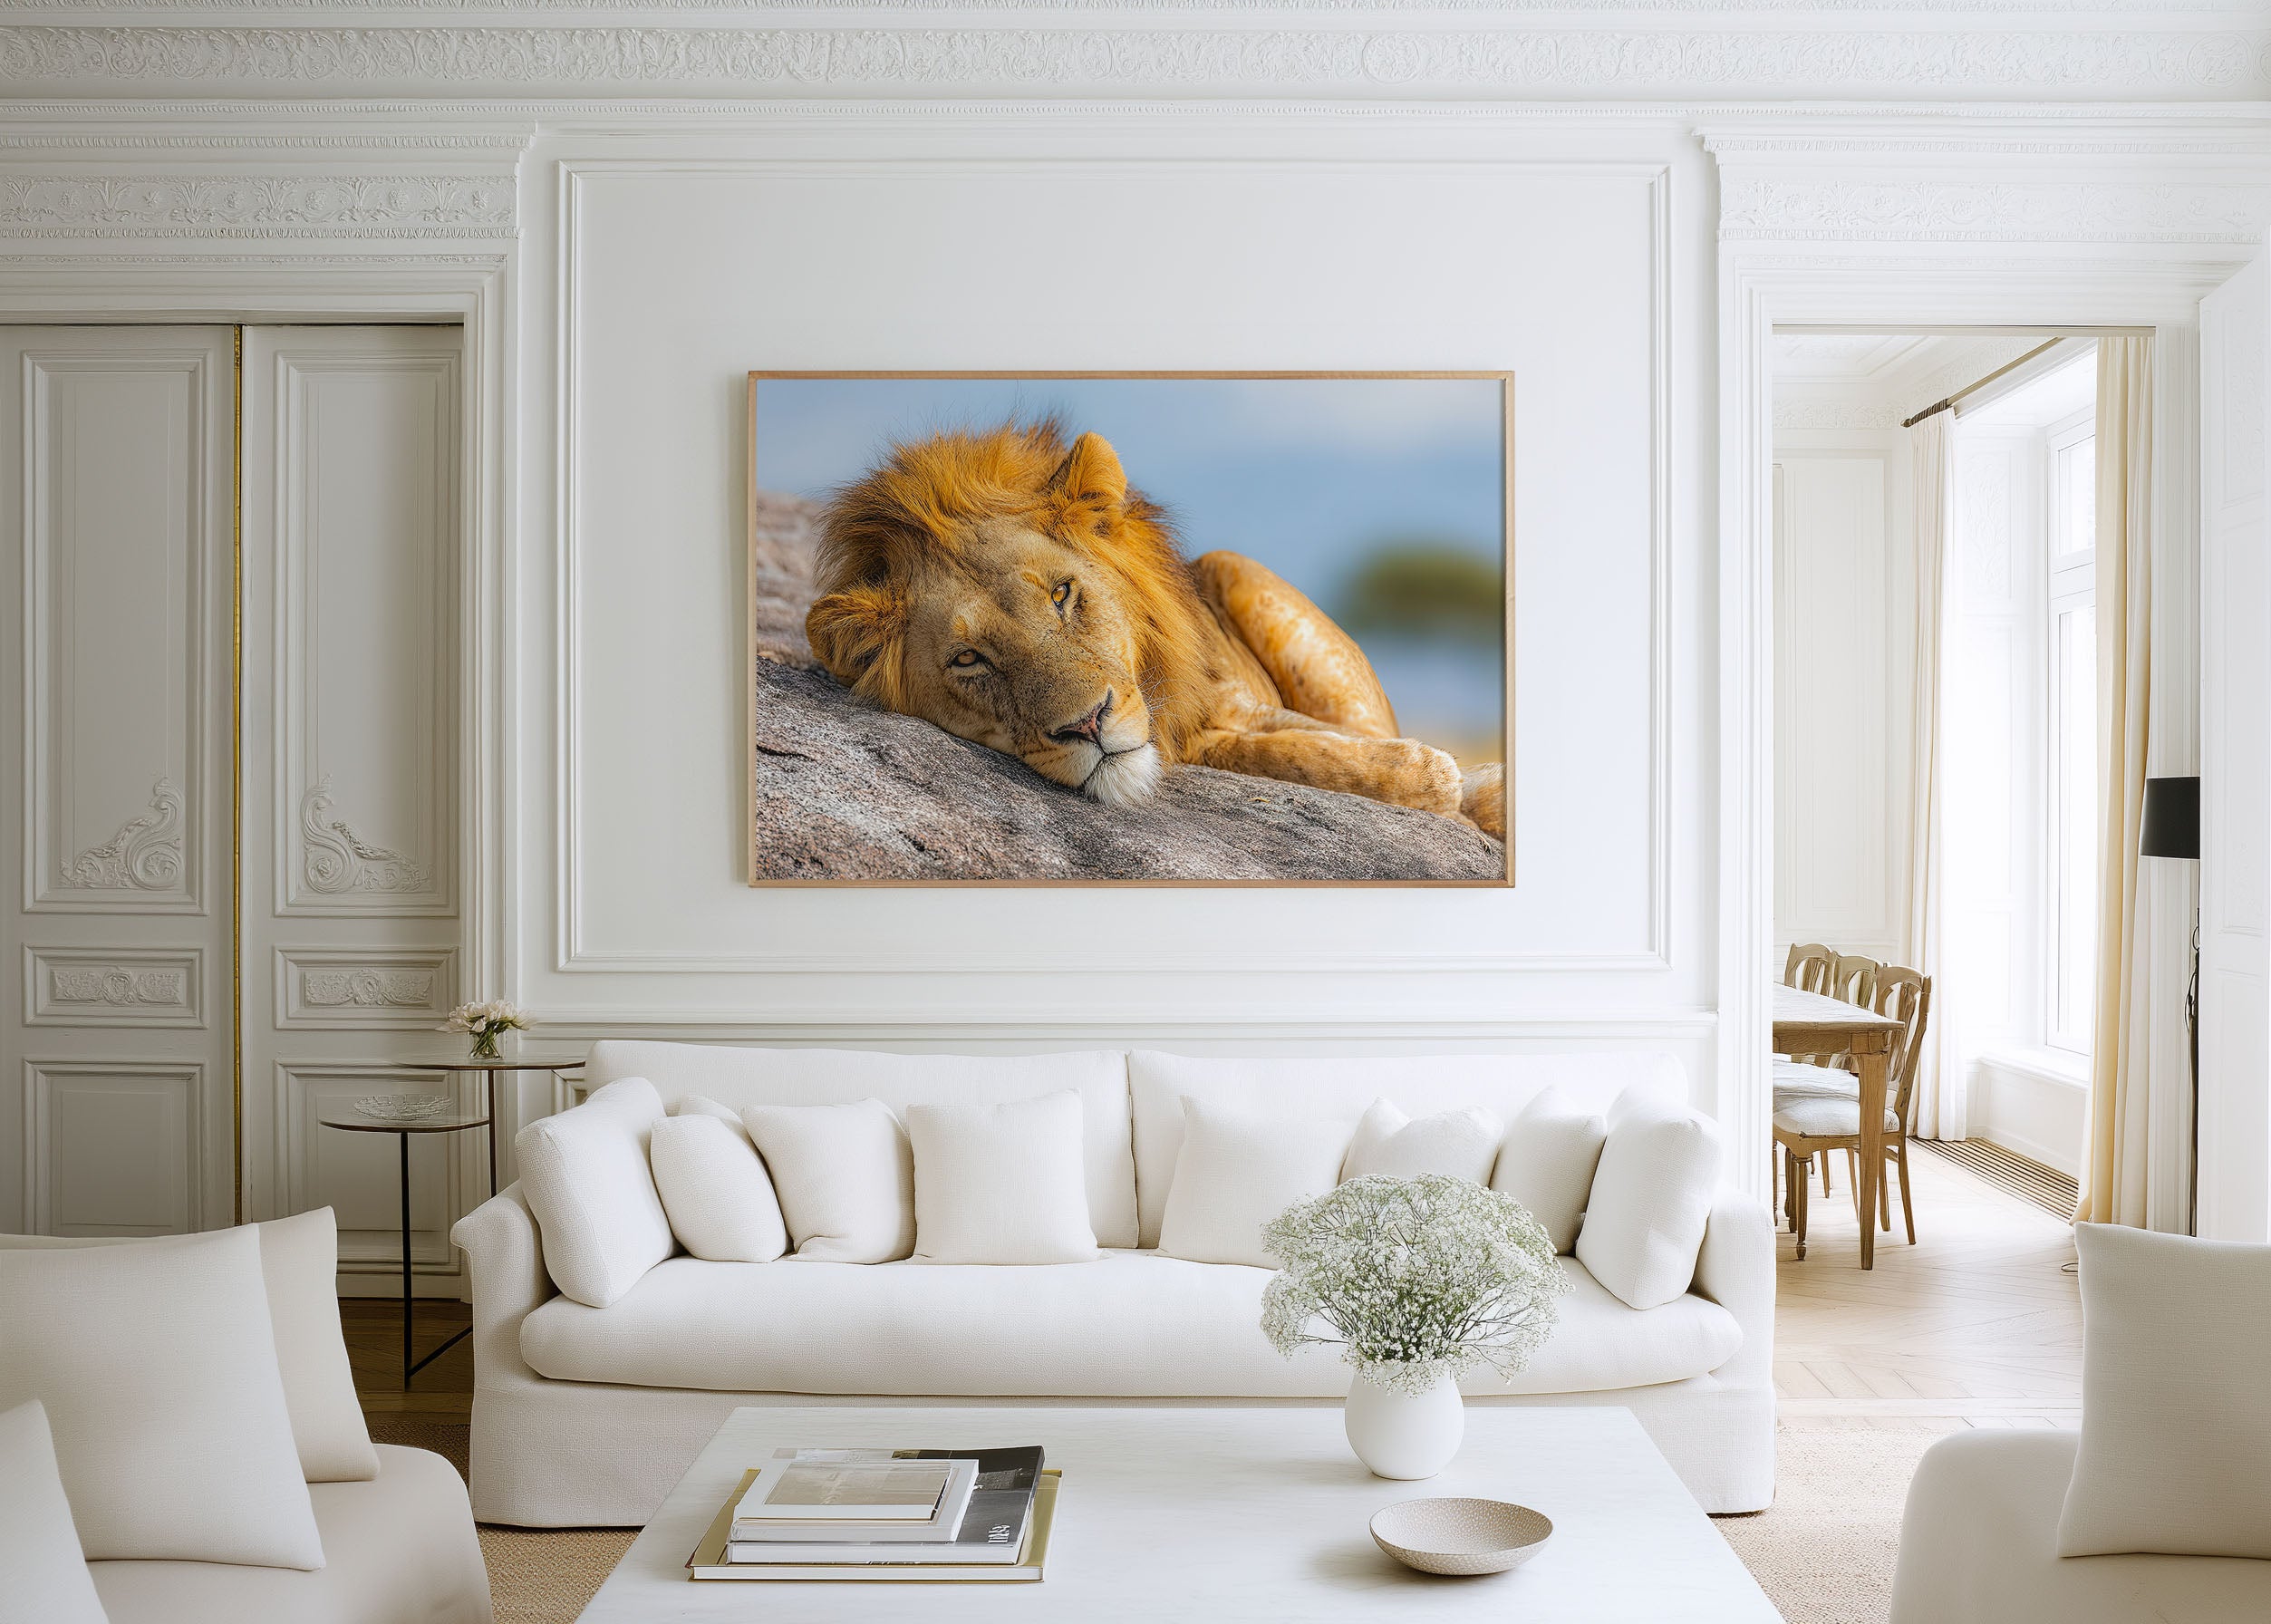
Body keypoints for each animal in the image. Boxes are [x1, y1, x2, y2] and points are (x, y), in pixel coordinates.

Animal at [803, 419, 1505, 840]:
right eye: (969, 659)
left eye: (1062, 594)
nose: (1088, 724)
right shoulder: (1208, 734)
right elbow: (1288, 755)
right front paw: (1439, 777)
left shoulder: (1236, 702)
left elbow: (1319, 745)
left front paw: (1469, 781)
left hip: (1234, 566)